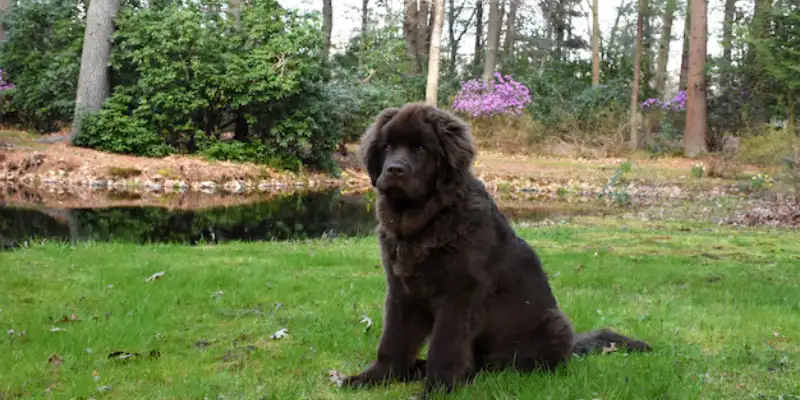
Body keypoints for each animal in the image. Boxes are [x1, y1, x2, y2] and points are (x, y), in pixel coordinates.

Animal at [344, 103, 648, 396]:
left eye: (420, 148)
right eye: (387, 147)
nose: (394, 169)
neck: (427, 220)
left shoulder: (460, 294)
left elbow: (445, 347)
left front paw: (437, 389)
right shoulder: (401, 290)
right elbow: (393, 339)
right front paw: (376, 377)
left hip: (554, 325)